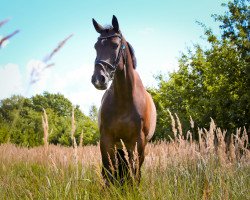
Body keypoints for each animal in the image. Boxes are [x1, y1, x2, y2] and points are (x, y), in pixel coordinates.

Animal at [90, 14, 156, 185]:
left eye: (115, 45)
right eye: (96, 46)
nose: (98, 79)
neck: (124, 101)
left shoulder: (138, 142)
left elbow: (135, 173)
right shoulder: (106, 139)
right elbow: (108, 171)